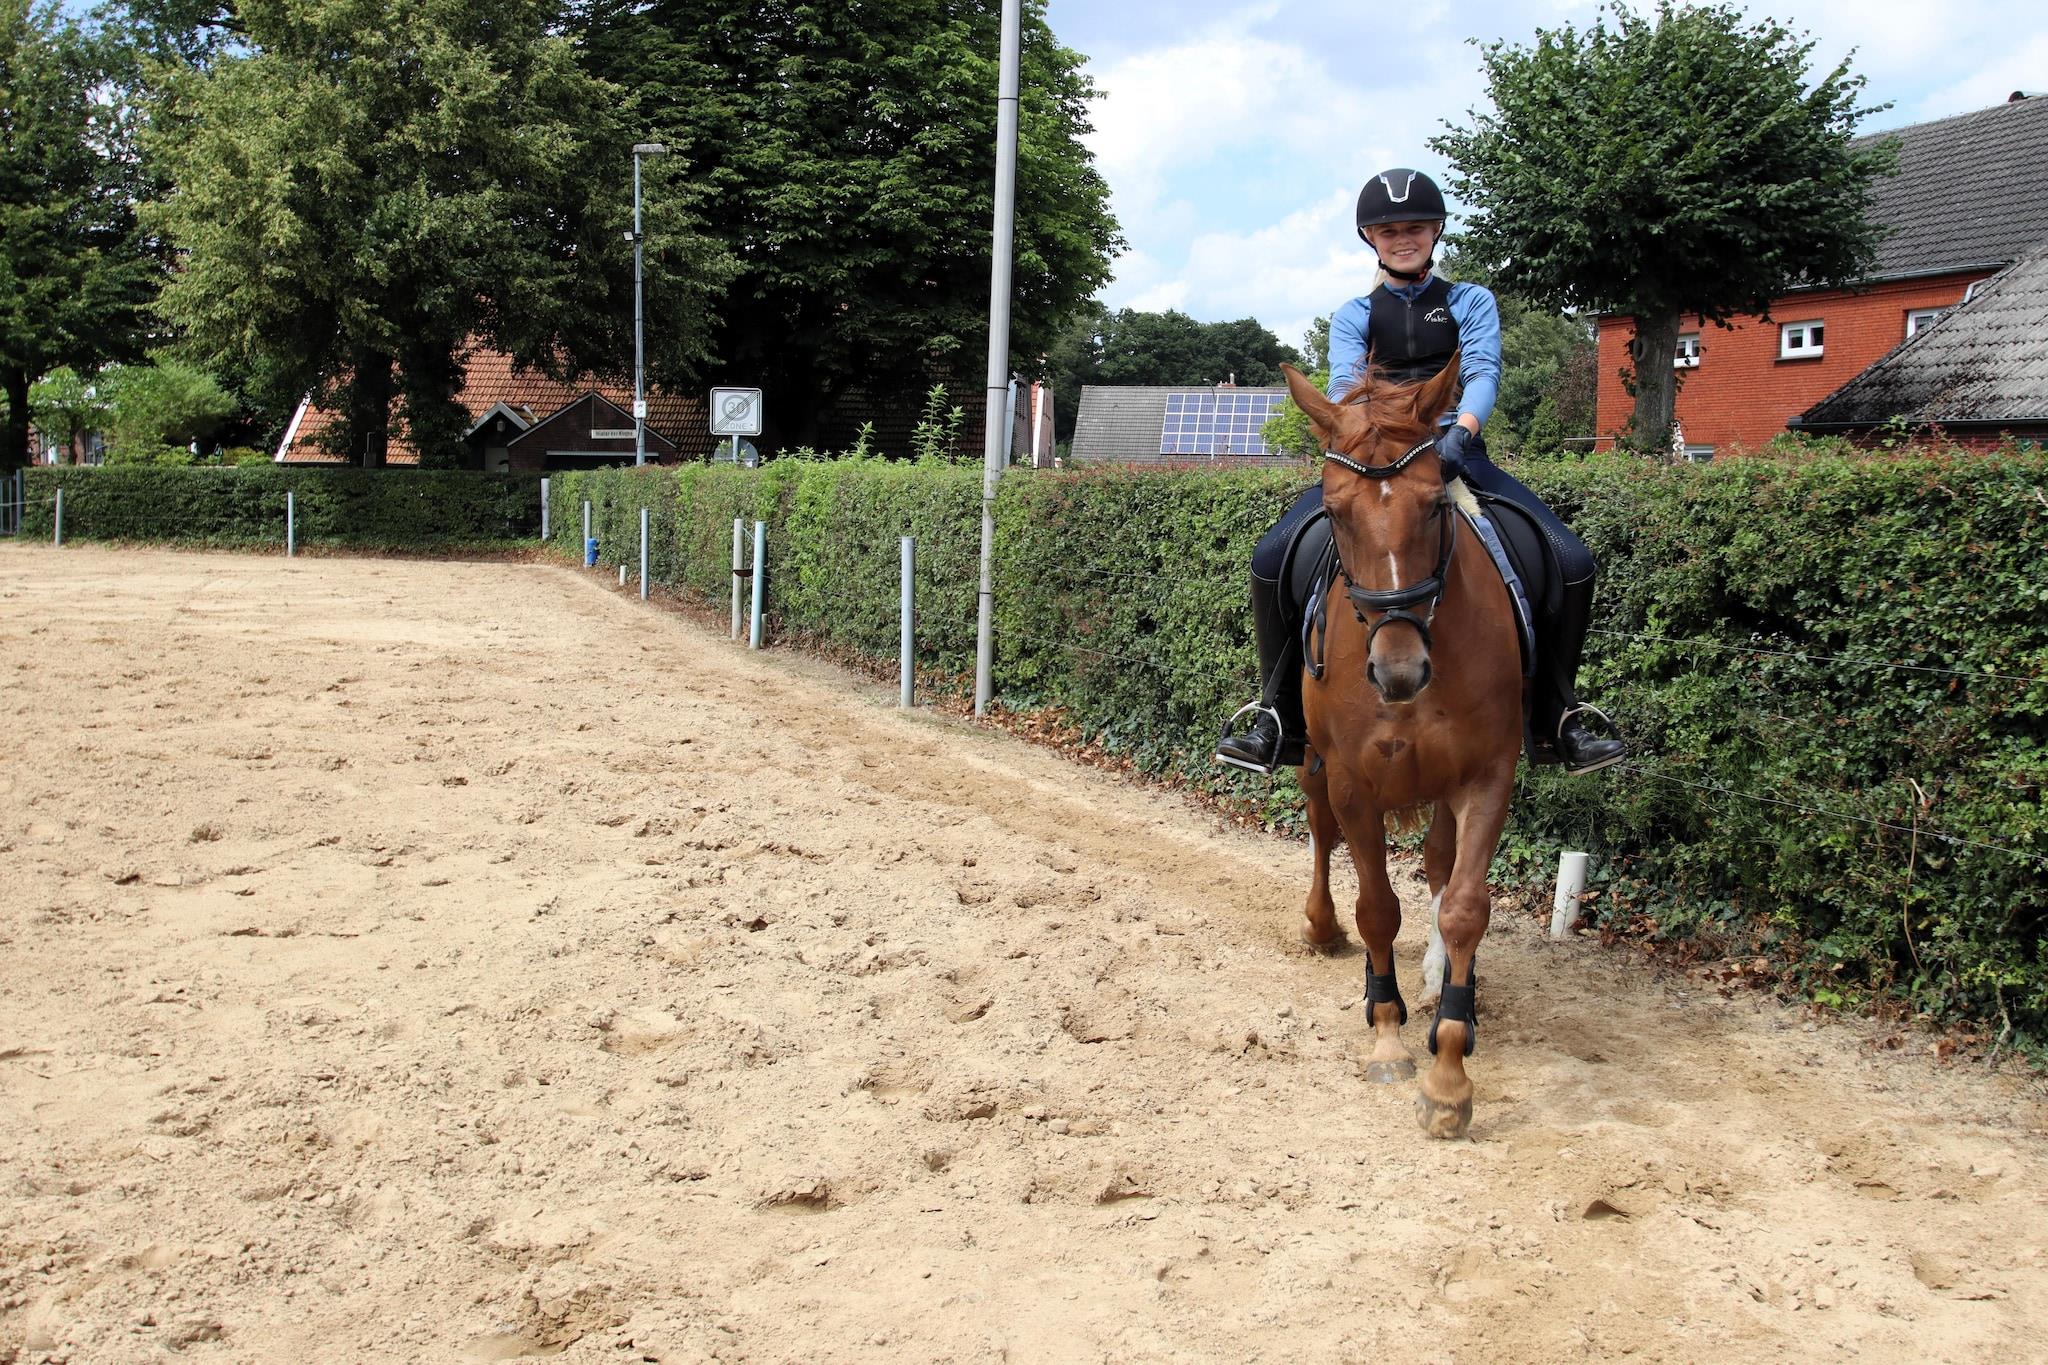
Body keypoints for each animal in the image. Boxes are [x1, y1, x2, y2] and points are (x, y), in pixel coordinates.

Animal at [1277, 359, 1524, 1140]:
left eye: (1434, 505)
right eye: (1334, 512)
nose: (1398, 672)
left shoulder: (1487, 774)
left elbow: (1464, 905)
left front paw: (1449, 1071)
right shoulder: (1352, 779)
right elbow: (1378, 909)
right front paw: (1387, 1032)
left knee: (1441, 866)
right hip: (1313, 765)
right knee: (1322, 833)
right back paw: (1323, 929)